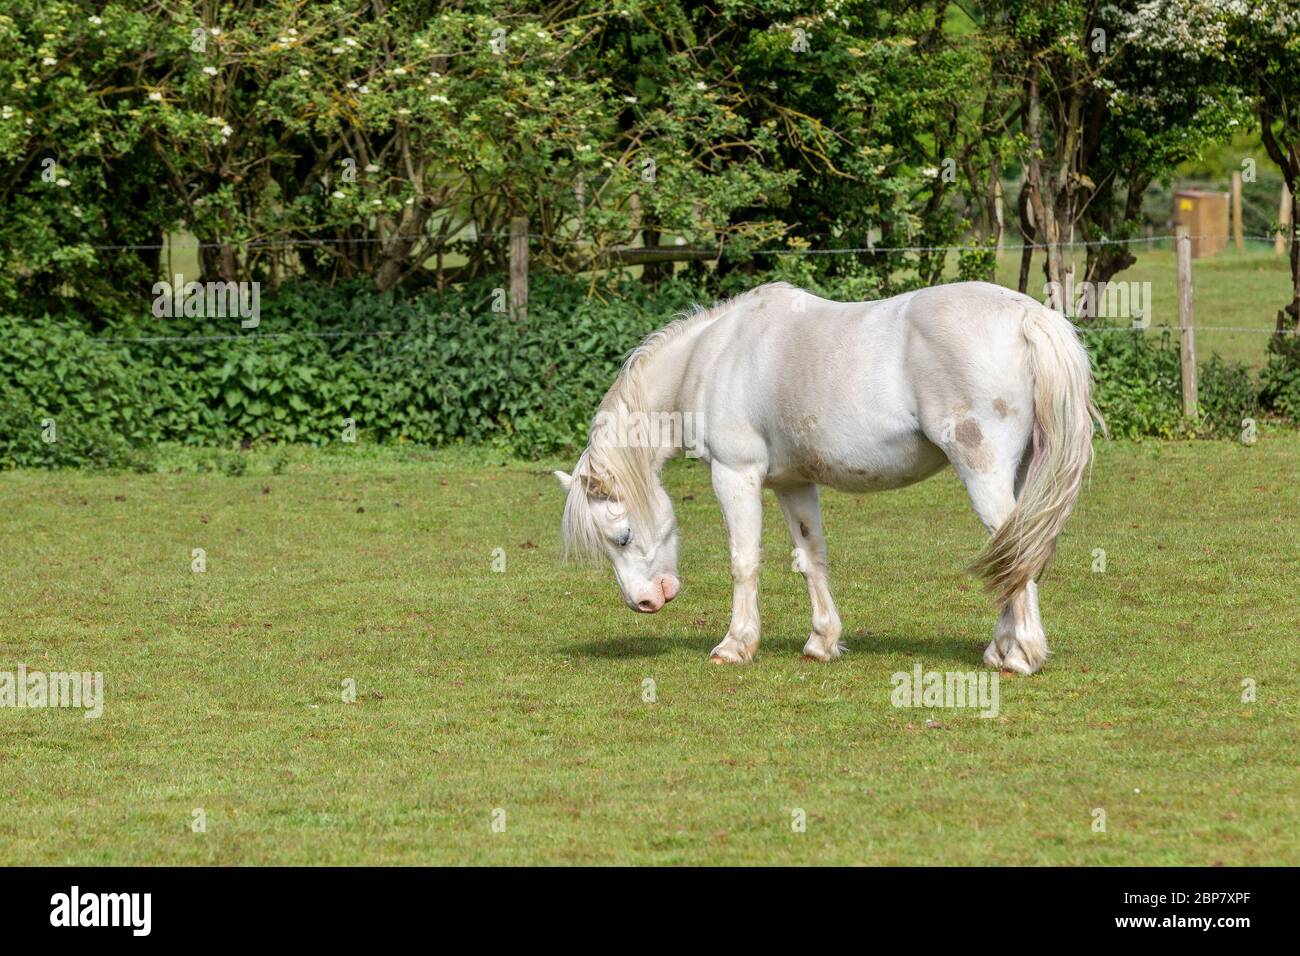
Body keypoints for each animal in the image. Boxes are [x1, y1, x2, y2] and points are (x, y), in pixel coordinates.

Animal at [554, 281, 1103, 674]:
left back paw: (1020, 656)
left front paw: (735, 646)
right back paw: (999, 649)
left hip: (984, 473)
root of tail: (1028, 316)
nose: (644, 602)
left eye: (622, 536)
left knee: (1017, 551)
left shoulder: (736, 476)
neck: (714, 356)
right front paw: (822, 641)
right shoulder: (793, 483)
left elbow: (743, 562)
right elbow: (810, 558)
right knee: (1016, 548)